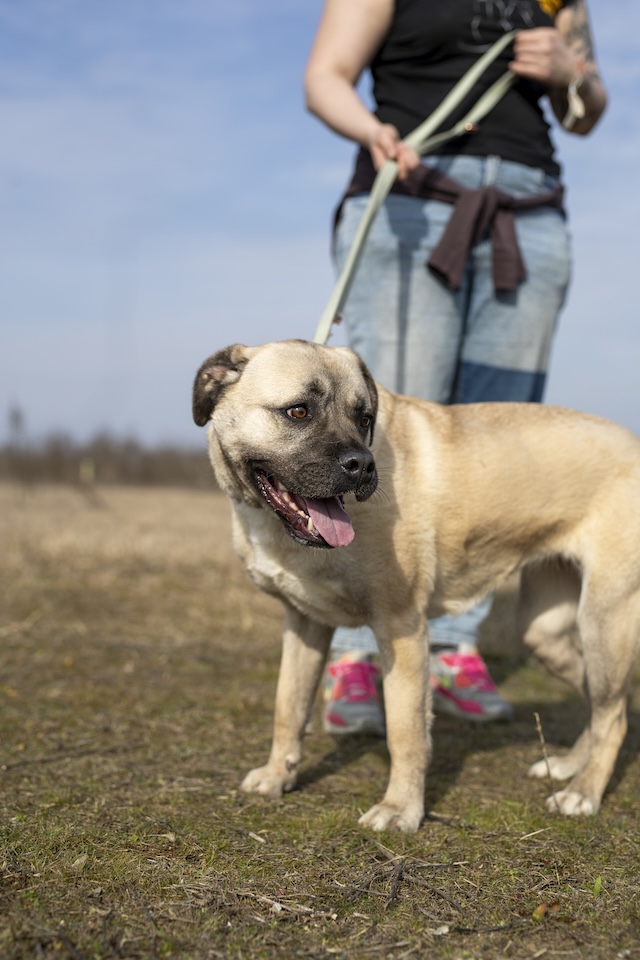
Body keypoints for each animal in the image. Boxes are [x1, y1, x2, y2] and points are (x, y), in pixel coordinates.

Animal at [193, 339, 640, 833]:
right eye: (298, 411)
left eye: (364, 418)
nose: (362, 465)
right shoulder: (305, 625)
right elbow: (287, 707)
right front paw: (277, 776)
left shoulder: (401, 628)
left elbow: (405, 734)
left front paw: (401, 808)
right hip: (546, 632)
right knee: (605, 702)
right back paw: (570, 766)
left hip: (603, 618)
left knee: (614, 715)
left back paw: (583, 792)